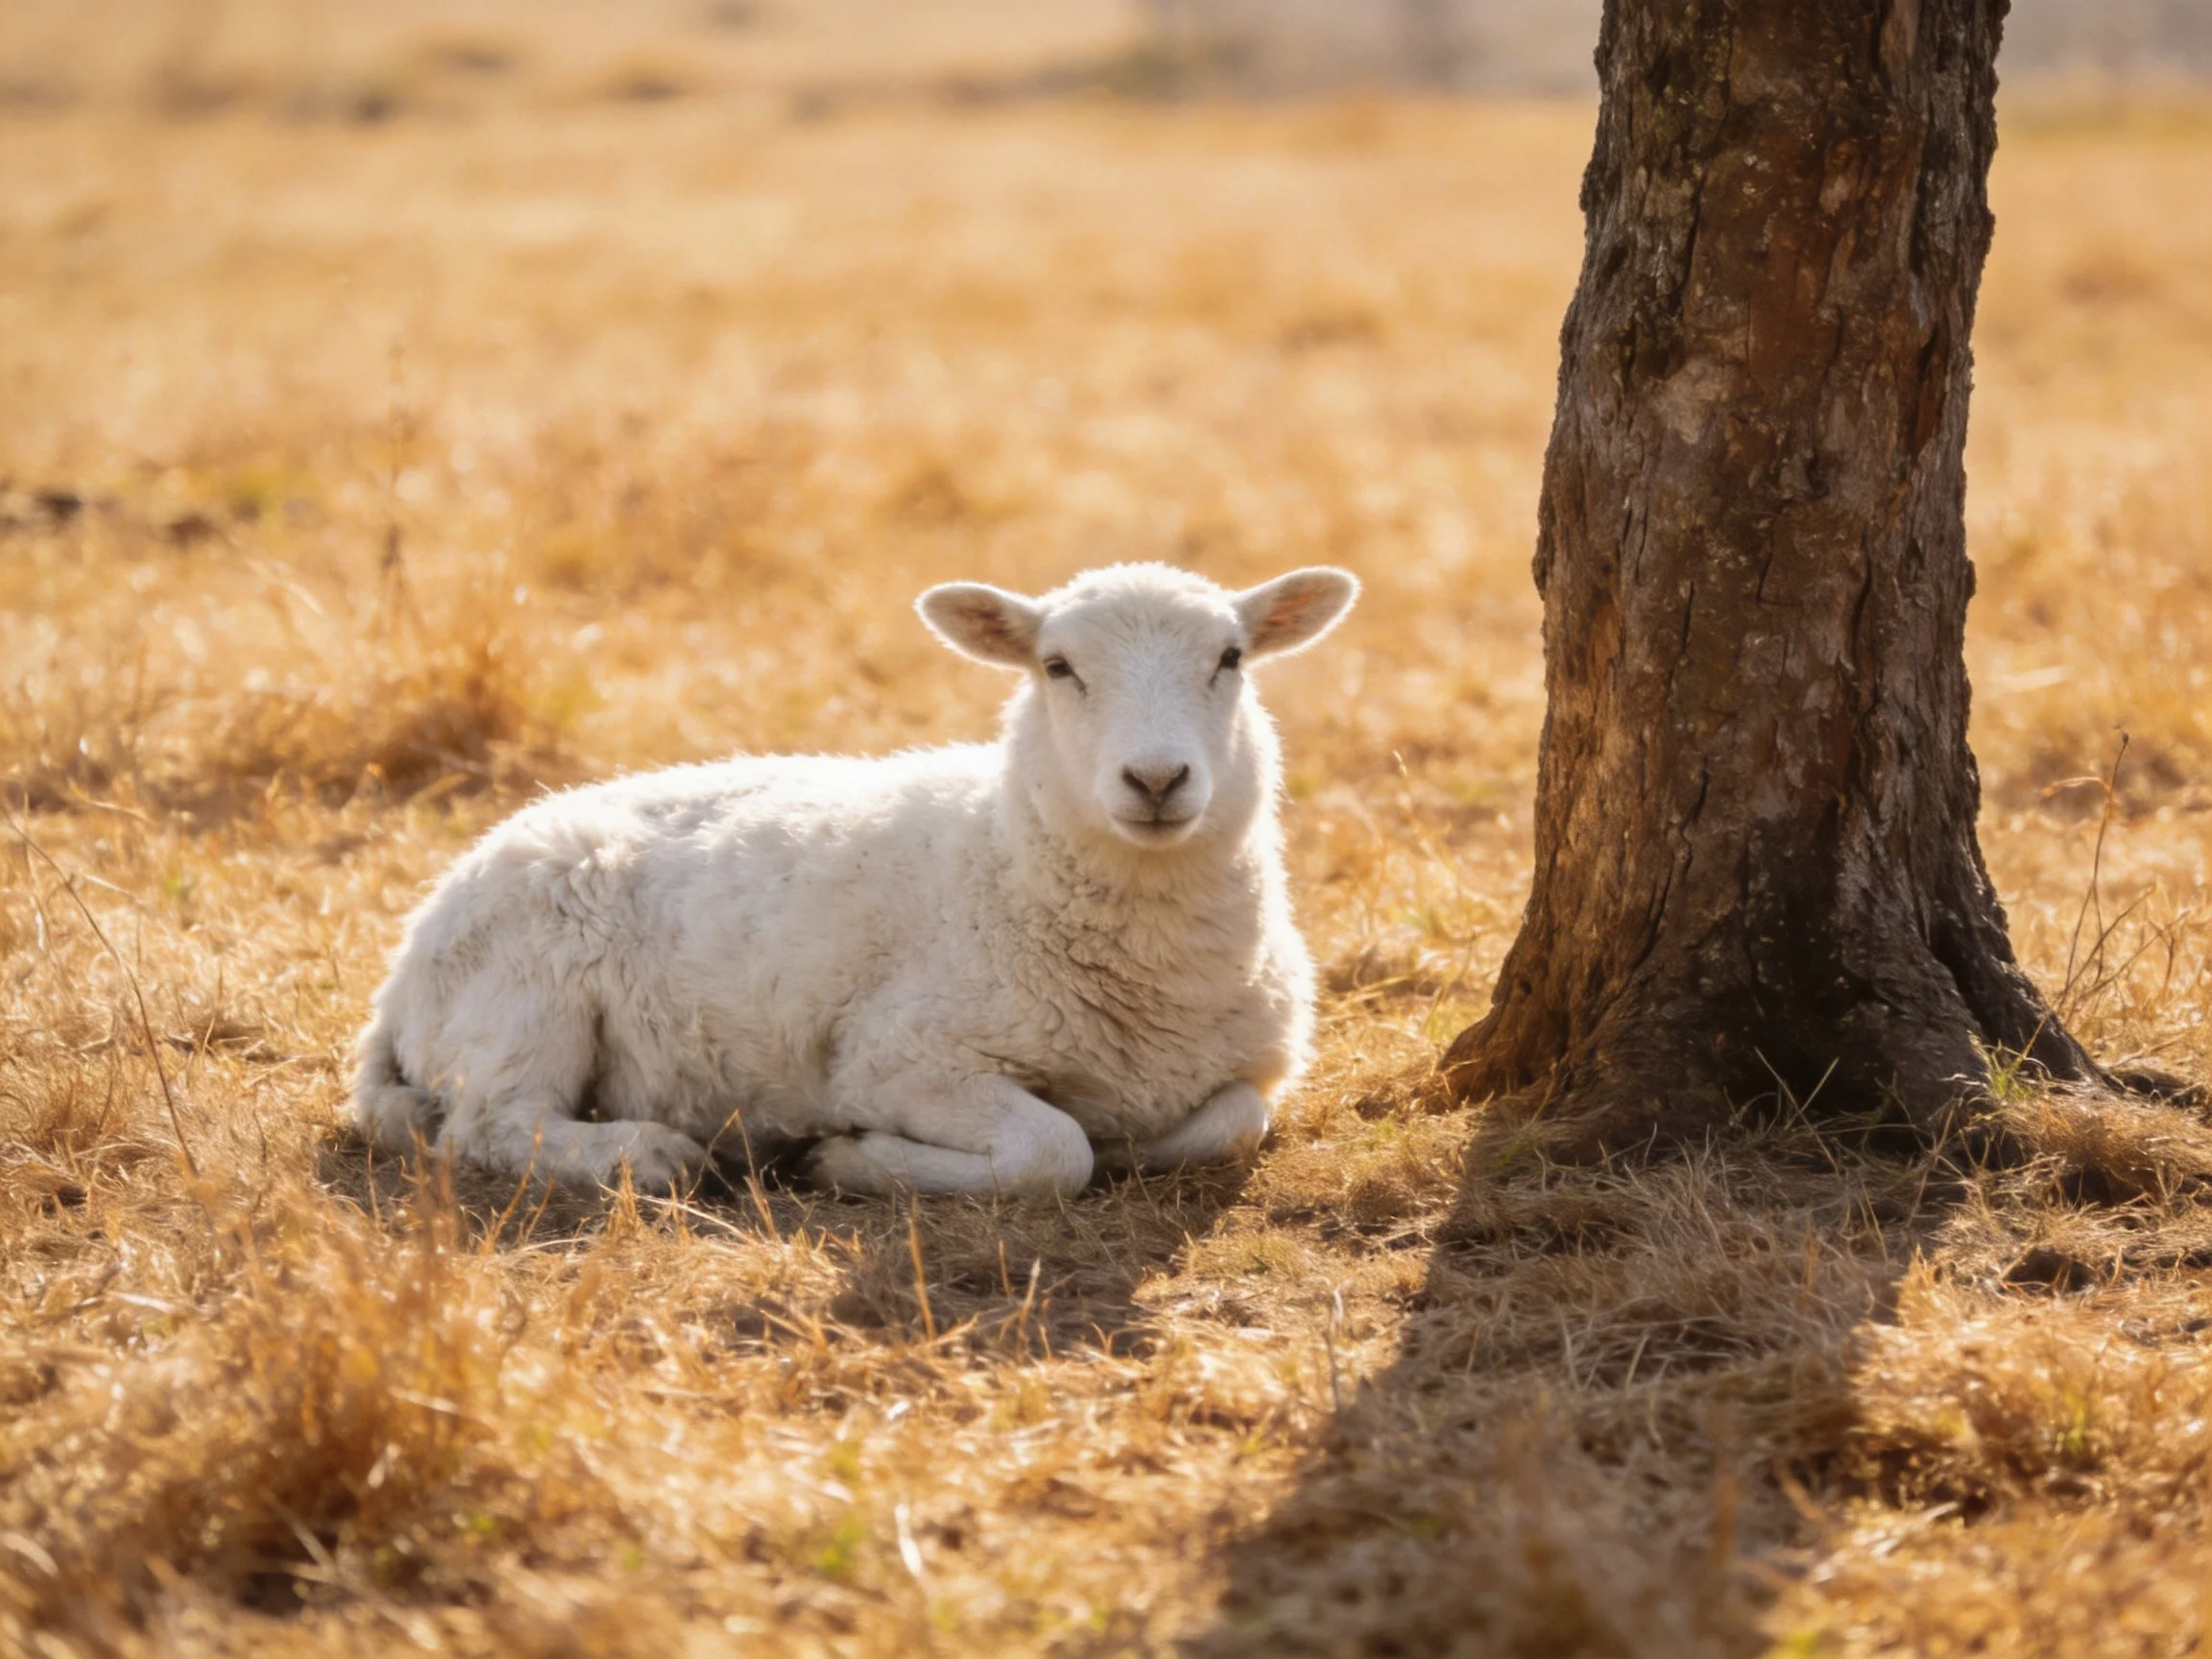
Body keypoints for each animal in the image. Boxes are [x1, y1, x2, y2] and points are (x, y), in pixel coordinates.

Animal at [350, 561, 1358, 1197]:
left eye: (1230, 659)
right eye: (1057, 666)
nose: (1155, 780)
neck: (1002, 860)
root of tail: (398, 983)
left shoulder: (1249, 1074)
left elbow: (1229, 1122)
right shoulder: (897, 1057)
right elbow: (1054, 1151)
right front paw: (847, 1159)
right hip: (527, 992)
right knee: (486, 1125)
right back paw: (651, 1154)